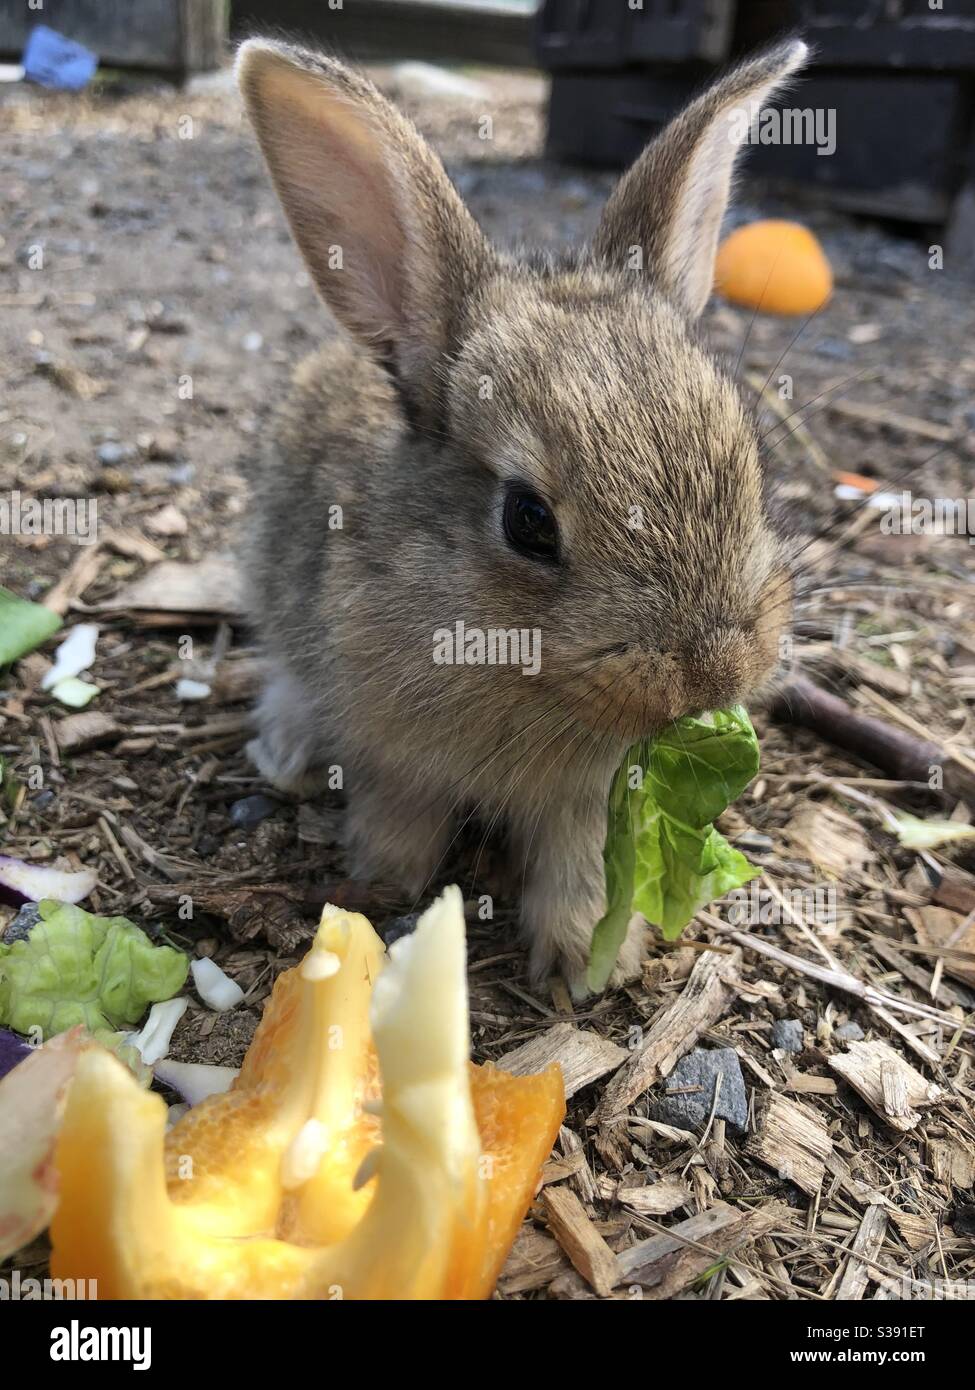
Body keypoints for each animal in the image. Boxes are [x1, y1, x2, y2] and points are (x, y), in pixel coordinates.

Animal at [237, 38, 806, 995]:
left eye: (749, 463)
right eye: (527, 520)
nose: (713, 673)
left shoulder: (589, 804)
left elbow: (578, 869)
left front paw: (586, 963)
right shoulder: (394, 756)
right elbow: (400, 817)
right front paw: (387, 878)